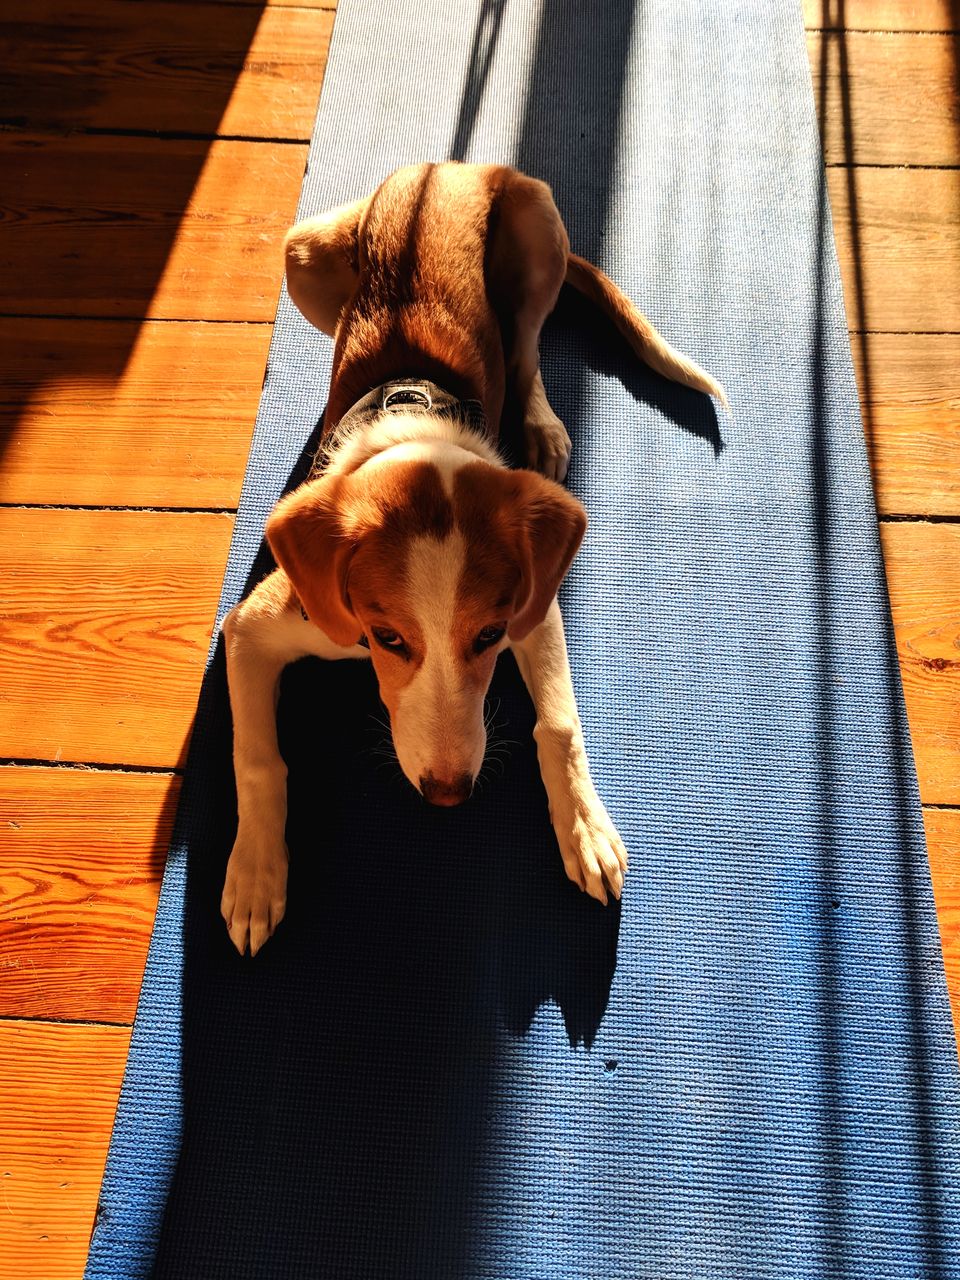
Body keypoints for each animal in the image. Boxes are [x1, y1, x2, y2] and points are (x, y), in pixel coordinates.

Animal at [220, 162, 727, 962]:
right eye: (385, 638)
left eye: (488, 638)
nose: (448, 795)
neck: (416, 433)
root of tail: (451, 167)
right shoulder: (250, 630)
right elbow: (258, 758)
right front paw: (254, 877)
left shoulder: (534, 604)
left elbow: (559, 725)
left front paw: (584, 830)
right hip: (303, 258)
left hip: (535, 229)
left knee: (525, 352)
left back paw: (543, 428)